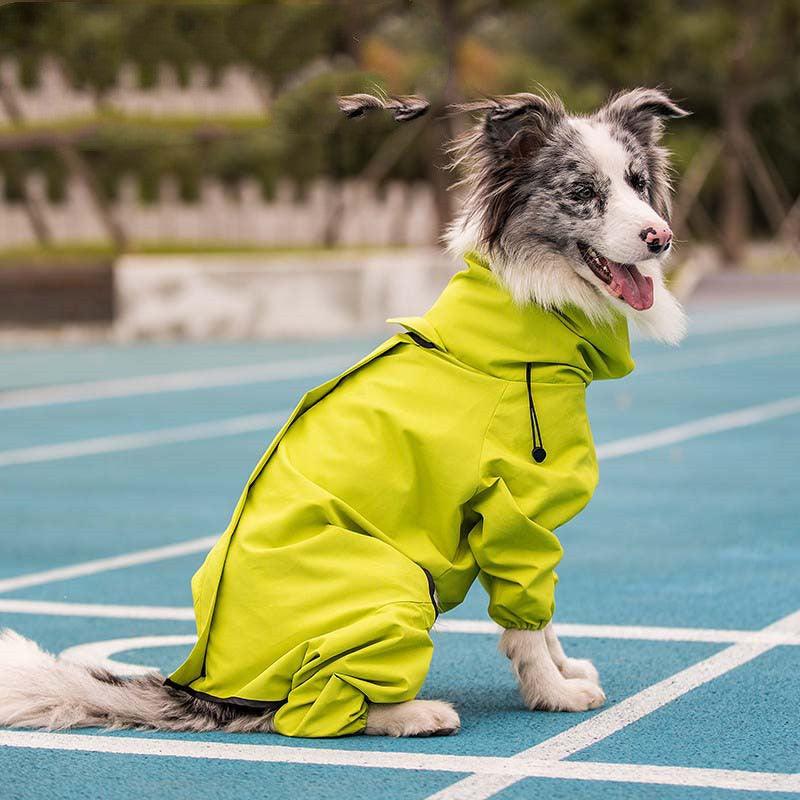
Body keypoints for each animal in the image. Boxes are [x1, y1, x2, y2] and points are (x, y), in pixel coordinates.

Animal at [0, 86, 688, 736]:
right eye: (582, 192)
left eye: (638, 183)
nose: (661, 237)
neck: (520, 326)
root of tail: (203, 691)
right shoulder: (513, 511)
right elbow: (527, 622)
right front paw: (554, 694)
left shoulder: (525, 520)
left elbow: (544, 621)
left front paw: (566, 670)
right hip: (393, 580)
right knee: (304, 712)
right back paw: (415, 714)